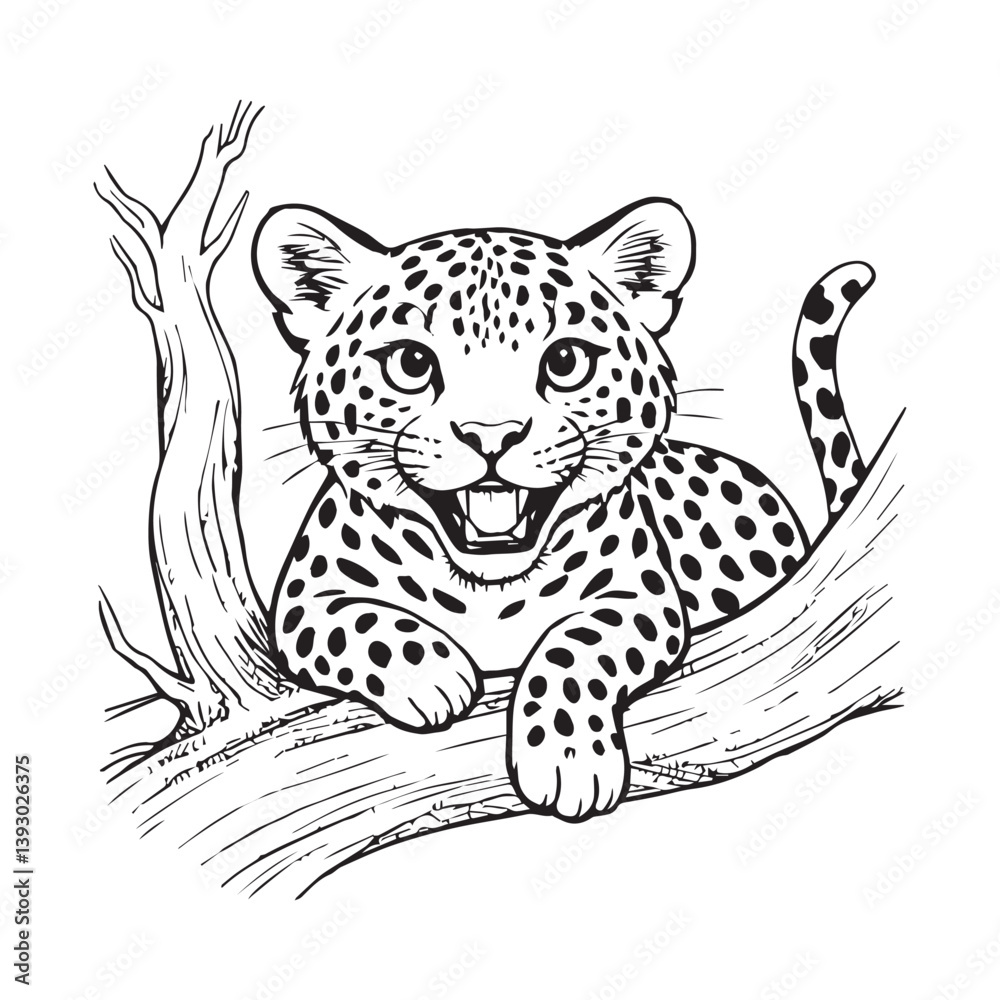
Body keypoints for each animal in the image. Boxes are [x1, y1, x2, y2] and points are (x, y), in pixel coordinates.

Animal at [252, 197, 874, 822]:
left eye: (566, 361)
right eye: (410, 363)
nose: (492, 435)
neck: (488, 593)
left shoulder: (641, 596)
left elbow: (575, 645)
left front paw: (570, 760)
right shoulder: (303, 602)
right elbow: (354, 621)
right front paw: (427, 672)